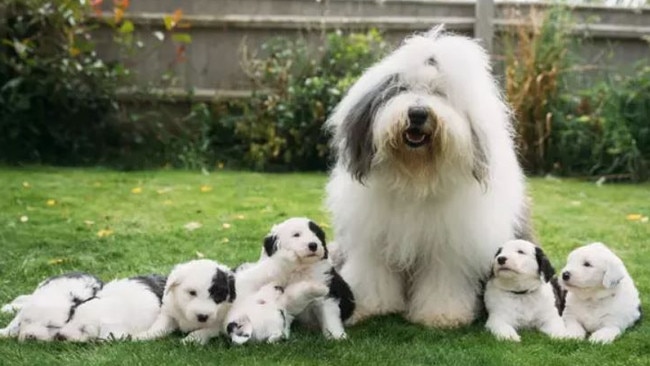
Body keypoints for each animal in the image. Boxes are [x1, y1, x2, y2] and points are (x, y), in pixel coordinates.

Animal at [324, 27, 528, 328]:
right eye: (402, 89)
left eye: (440, 93)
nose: (418, 113)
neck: (416, 176)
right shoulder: (372, 239)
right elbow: (371, 274)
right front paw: (369, 306)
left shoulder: (449, 246)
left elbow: (443, 279)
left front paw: (442, 315)